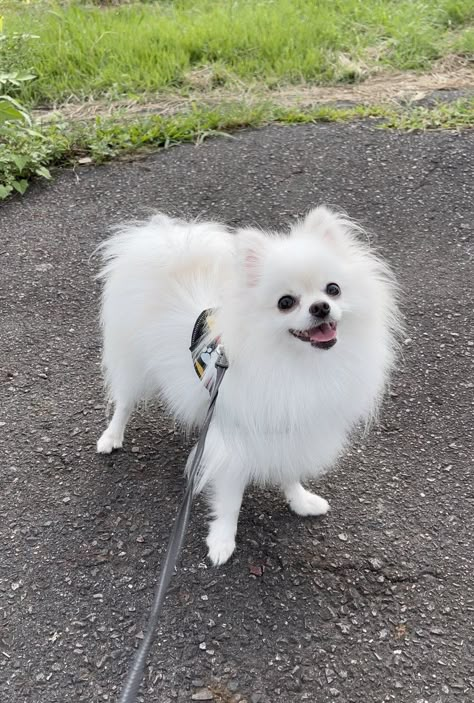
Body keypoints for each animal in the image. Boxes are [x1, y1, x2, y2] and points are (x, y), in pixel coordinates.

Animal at [97, 208, 400, 568]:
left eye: (333, 289)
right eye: (286, 302)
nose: (321, 307)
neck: (297, 364)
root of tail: (168, 247)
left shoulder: (290, 425)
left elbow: (290, 470)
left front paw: (300, 501)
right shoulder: (236, 443)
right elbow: (230, 500)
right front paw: (222, 542)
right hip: (133, 364)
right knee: (124, 402)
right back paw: (111, 437)